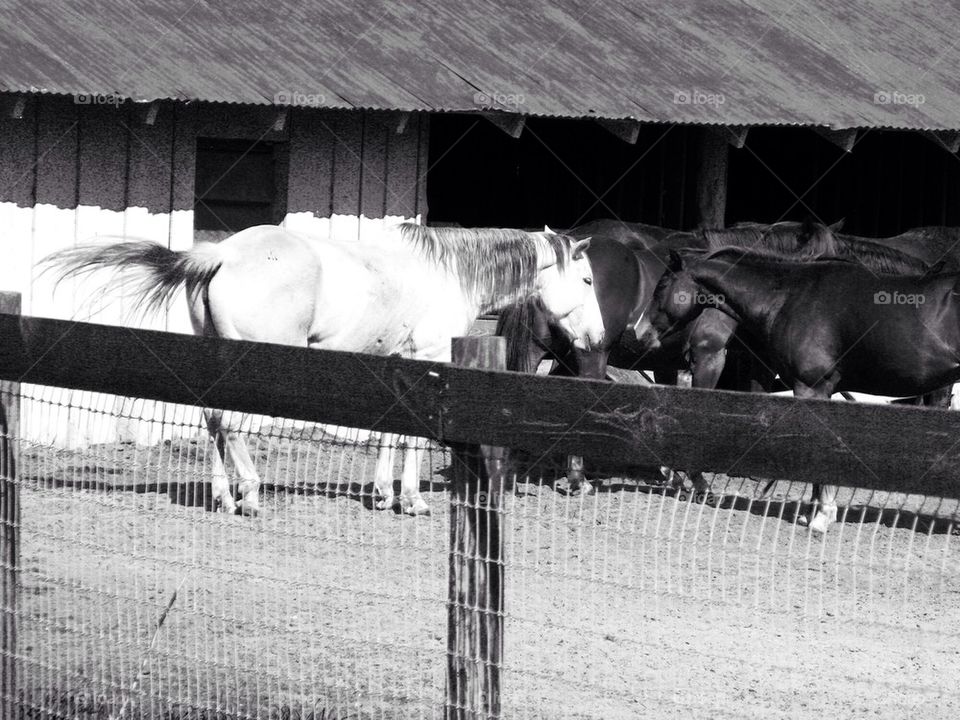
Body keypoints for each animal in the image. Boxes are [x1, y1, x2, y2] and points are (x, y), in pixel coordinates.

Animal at [43, 223, 605, 517]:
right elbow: (414, 436)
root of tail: (222, 254)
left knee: (214, 421)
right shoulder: (426, 360)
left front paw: (384, 495)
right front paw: (412, 501)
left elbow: (390, 432)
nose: (598, 337)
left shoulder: (395, 361)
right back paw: (250, 495)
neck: (446, 272)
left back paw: (224, 496)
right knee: (233, 424)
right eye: (586, 280)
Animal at [635, 246, 959, 532]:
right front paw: (811, 512)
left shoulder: (811, 388)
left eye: (662, 285)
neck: (789, 297)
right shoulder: (819, 391)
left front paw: (822, 517)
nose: (640, 333)